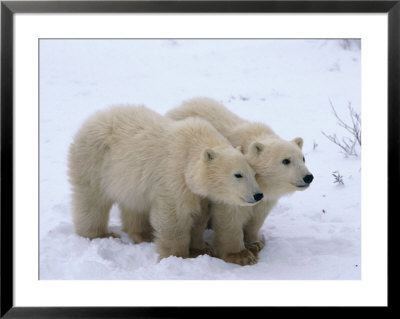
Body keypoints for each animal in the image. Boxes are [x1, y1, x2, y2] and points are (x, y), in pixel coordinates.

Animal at [167, 99, 314, 266]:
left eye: (303, 158)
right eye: (286, 160)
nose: (308, 177)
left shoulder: (264, 196)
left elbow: (257, 216)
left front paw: (255, 242)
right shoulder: (231, 187)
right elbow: (231, 215)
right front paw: (240, 255)